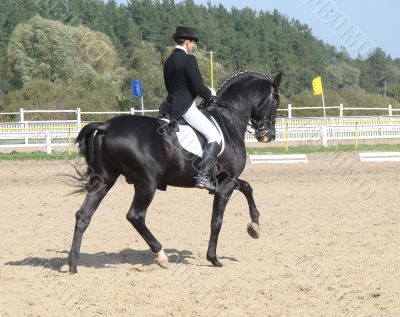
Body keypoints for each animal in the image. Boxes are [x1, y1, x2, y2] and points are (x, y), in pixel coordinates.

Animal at [69, 71, 282, 272]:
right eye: (276, 100)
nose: (269, 135)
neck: (228, 120)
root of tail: (108, 125)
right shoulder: (226, 183)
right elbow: (217, 220)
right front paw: (213, 258)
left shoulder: (225, 180)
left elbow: (247, 187)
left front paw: (254, 226)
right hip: (147, 183)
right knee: (135, 216)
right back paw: (161, 256)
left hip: (104, 180)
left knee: (83, 215)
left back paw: (73, 264)